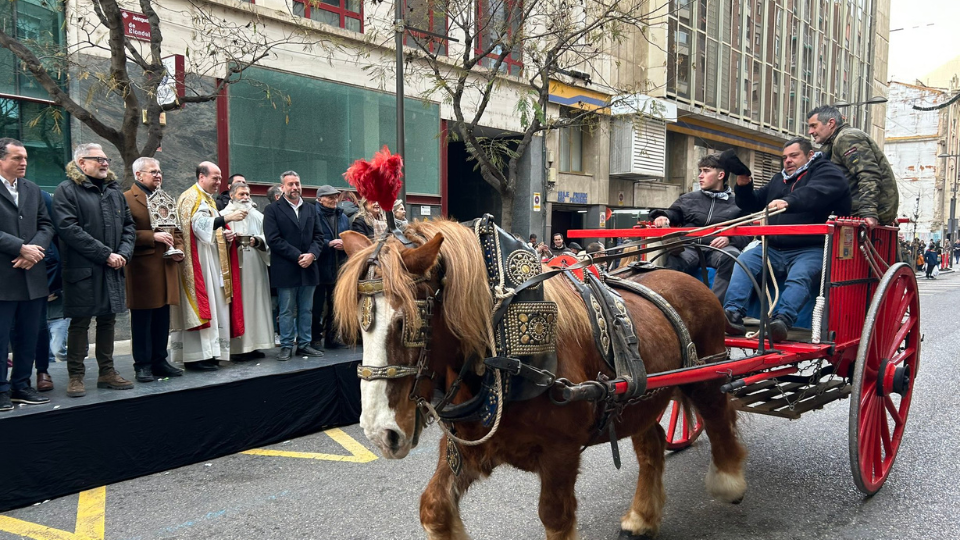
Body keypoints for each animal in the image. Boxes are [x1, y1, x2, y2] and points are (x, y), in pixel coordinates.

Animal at [334, 219, 748, 540]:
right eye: (359, 325)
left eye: (407, 324)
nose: (380, 433)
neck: (503, 356)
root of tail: (690, 279)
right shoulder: (467, 447)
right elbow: (433, 507)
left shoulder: (561, 452)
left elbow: (555, 517)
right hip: (640, 395)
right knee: (653, 443)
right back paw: (641, 518)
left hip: (705, 372)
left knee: (718, 414)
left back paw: (729, 480)